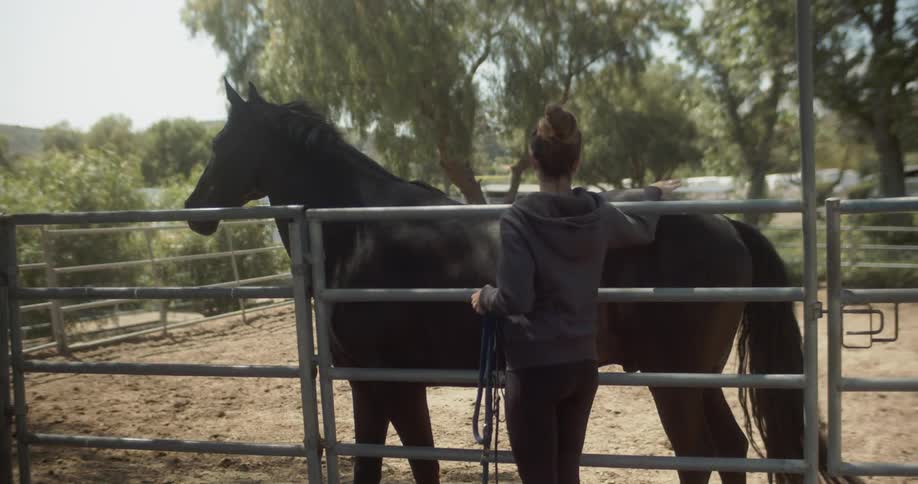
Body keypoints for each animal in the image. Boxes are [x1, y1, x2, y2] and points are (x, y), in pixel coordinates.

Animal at [184, 81, 854, 484]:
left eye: (222, 140)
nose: (194, 211)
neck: (357, 228)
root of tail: (726, 223)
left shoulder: (383, 380)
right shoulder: (383, 383)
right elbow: (401, 463)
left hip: (675, 379)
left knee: (700, 457)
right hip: (695, 377)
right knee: (730, 449)